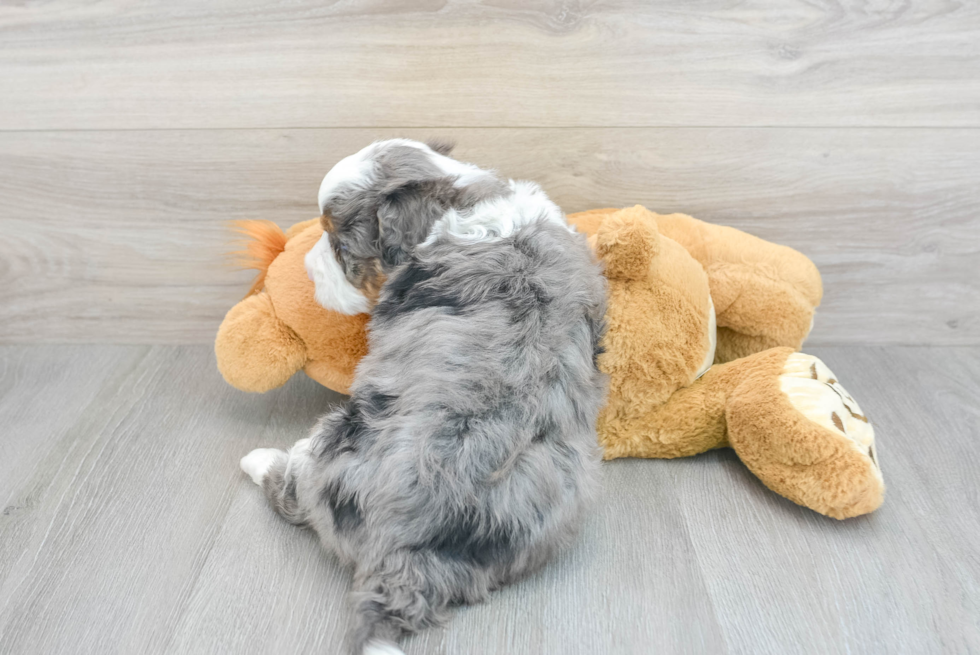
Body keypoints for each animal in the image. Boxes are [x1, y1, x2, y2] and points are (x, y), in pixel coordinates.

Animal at [240, 141, 604, 652]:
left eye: (339, 246)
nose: (308, 270)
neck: (459, 199)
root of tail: (404, 549)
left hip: (333, 444)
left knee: (292, 490)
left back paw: (259, 459)